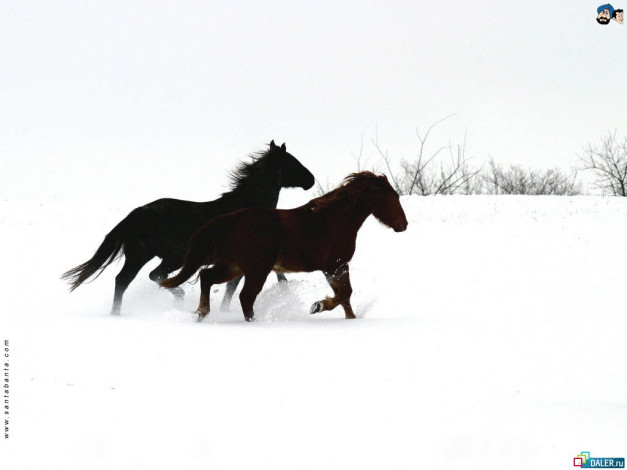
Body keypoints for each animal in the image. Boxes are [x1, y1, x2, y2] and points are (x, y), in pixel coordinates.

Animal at [62, 141, 314, 314]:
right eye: (292, 162)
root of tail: (134, 215)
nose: (311, 179)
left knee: (136, 278)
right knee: (133, 279)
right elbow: (234, 288)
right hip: (154, 257)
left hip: (154, 257)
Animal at [159, 173, 410, 324]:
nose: (403, 225)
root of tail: (227, 220)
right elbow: (344, 294)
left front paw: (351, 319)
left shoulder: (334, 268)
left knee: (206, 276)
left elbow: (345, 297)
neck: (334, 219)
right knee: (245, 297)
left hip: (233, 267)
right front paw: (318, 306)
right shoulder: (335, 265)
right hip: (256, 270)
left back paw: (202, 313)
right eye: (394, 197)